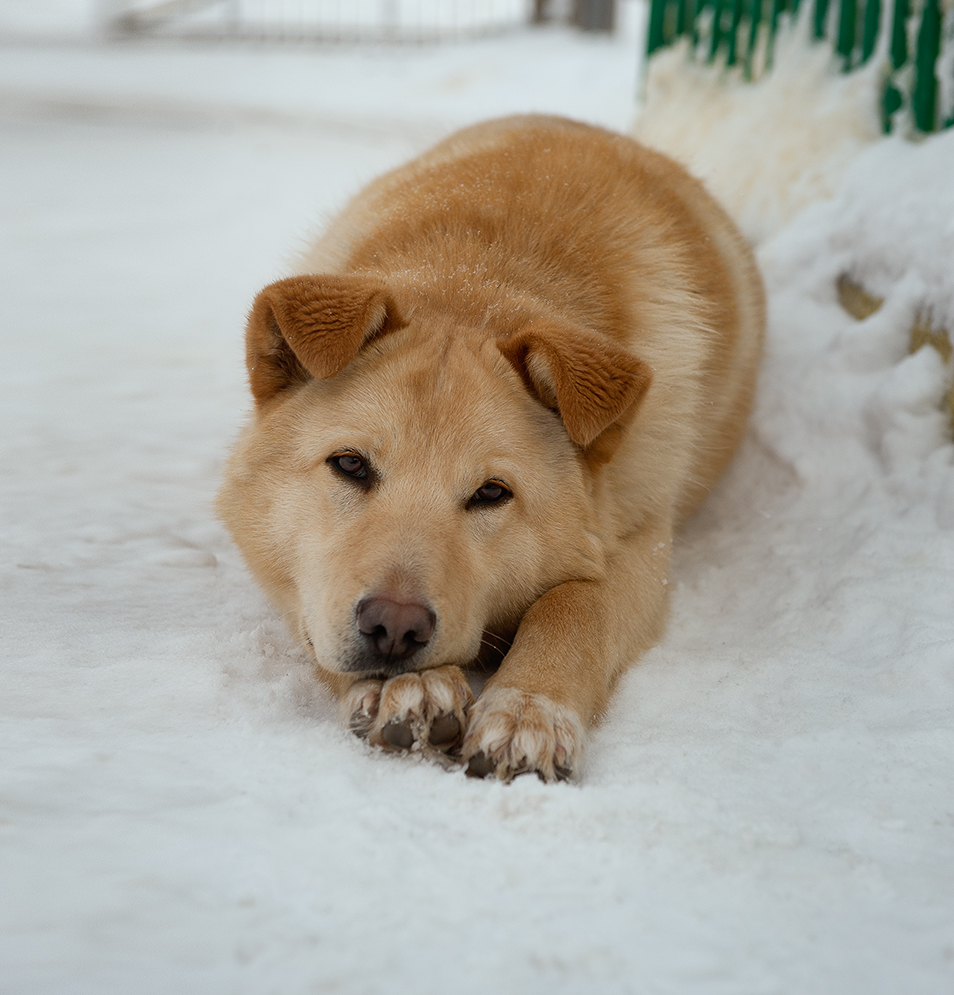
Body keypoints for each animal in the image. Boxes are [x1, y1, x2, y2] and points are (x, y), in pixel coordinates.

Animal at [218, 116, 768, 784]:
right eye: (349, 464)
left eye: (491, 493)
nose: (394, 628)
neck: (474, 283)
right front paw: (410, 689)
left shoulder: (642, 543)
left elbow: (577, 605)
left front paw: (529, 709)